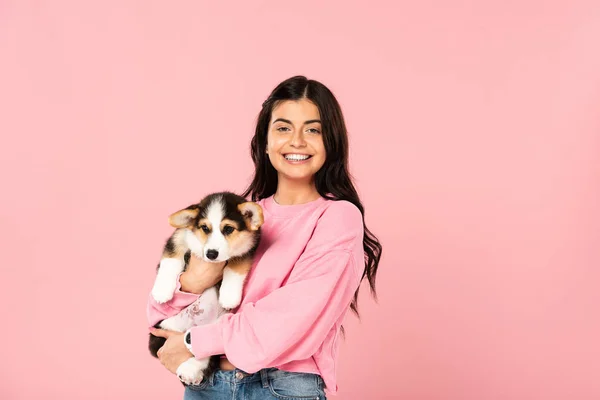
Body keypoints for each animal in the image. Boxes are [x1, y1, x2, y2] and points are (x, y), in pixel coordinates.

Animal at [148, 192, 262, 386]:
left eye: (228, 229)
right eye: (204, 228)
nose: (211, 254)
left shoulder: (247, 249)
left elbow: (235, 266)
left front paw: (228, 296)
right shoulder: (179, 237)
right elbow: (170, 260)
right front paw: (162, 291)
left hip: (217, 328)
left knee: (206, 349)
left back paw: (189, 370)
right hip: (163, 330)